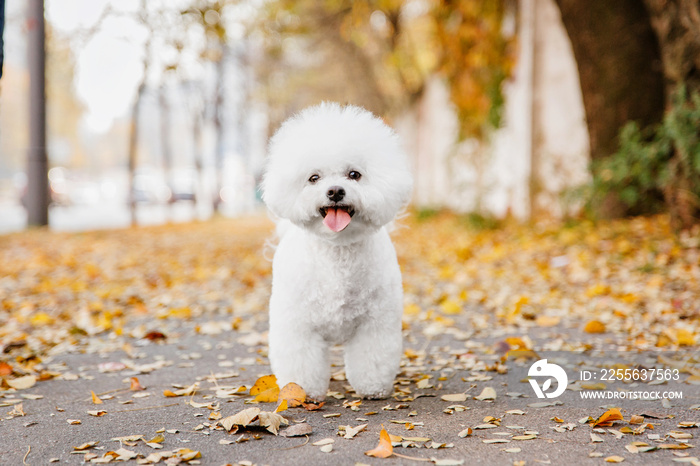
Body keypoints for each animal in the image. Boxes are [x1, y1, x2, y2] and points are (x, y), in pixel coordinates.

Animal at [264, 103, 416, 400]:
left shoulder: (375, 323)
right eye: (314, 178)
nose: (335, 191)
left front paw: (373, 388)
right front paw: (301, 392)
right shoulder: (298, 325)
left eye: (354, 174)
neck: (338, 252)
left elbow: (372, 357)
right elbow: (301, 361)